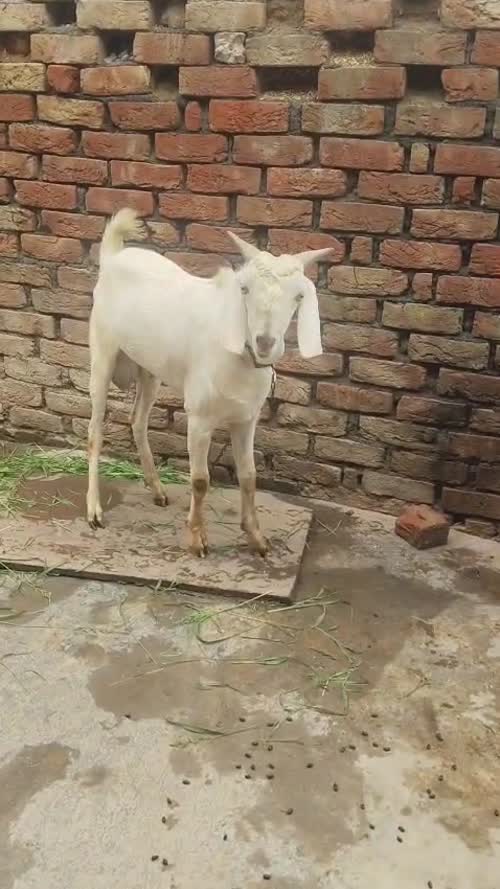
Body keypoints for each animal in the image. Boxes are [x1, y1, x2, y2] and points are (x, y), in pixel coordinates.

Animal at [87, 208, 332, 557]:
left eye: (299, 295)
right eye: (244, 289)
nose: (265, 342)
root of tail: (112, 256)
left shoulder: (246, 419)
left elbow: (249, 476)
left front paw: (256, 538)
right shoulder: (200, 417)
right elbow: (200, 480)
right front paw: (197, 539)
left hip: (150, 368)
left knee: (138, 421)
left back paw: (157, 489)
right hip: (102, 351)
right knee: (94, 431)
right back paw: (94, 510)